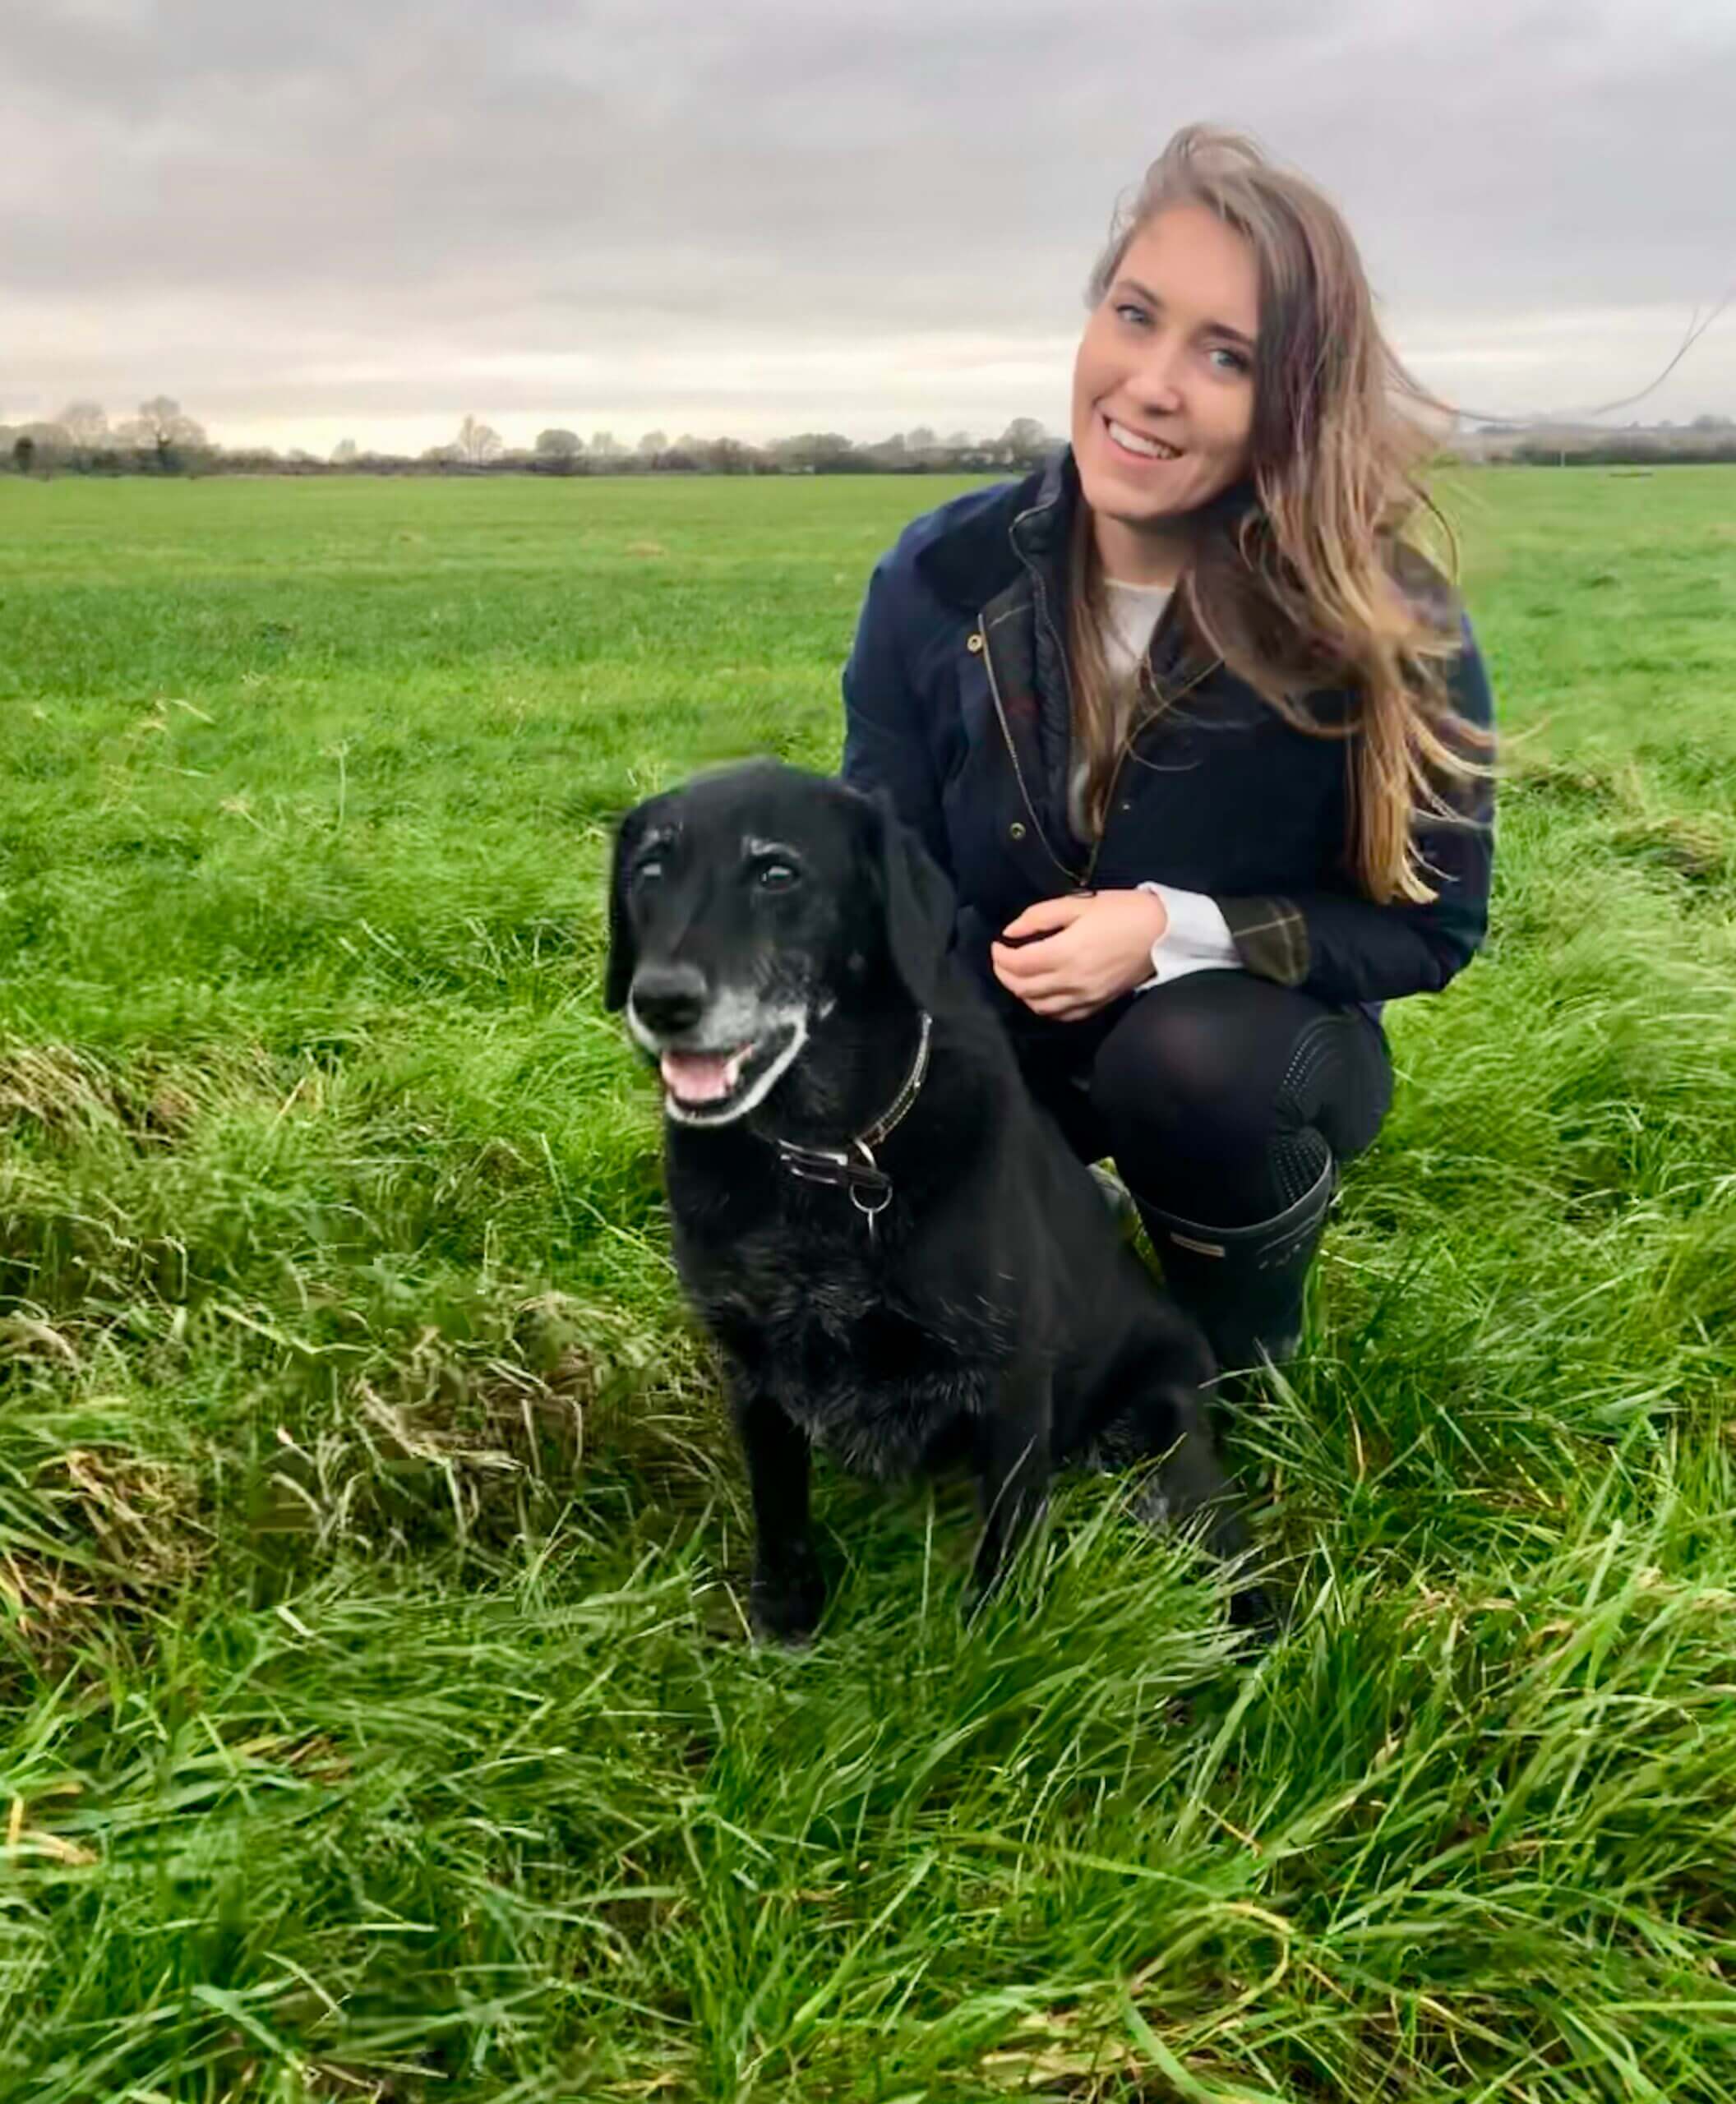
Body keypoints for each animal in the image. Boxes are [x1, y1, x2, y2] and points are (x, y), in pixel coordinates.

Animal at [606, 759, 1266, 1639]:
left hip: (1165, 1435)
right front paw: (786, 1617)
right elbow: (779, 1509)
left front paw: (997, 1642)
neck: (832, 1159)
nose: (662, 1003)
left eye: (777, 873)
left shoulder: (1011, 1372)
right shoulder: (752, 1364)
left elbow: (1009, 1533)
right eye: (650, 871)